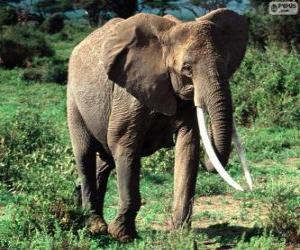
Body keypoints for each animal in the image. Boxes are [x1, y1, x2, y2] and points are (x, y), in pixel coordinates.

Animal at [67, 8, 253, 241]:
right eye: (187, 69)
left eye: (227, 64)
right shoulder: (129, 92)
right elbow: (124, 143)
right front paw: (123, 236)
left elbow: (188, 146)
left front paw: (180, 235)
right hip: (73, 100)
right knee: (86, 154)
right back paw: (95, 227)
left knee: (105, 161)